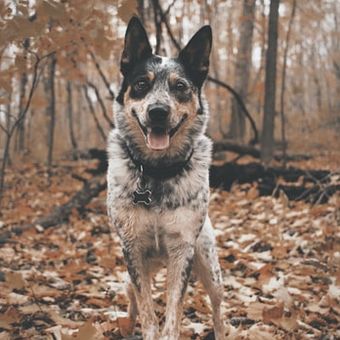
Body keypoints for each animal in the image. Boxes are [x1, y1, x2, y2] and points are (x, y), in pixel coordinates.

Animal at [107, 16, 224, 340]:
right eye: (141, 84)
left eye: (180, 86)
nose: (158, 111)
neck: (156, 172)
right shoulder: (132, 248)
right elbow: (148, 311)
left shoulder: (182, 250)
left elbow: (174, 312)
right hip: (128, 278)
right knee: (134, 302)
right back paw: (126, 326)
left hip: (209, 266)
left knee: (218, 308)